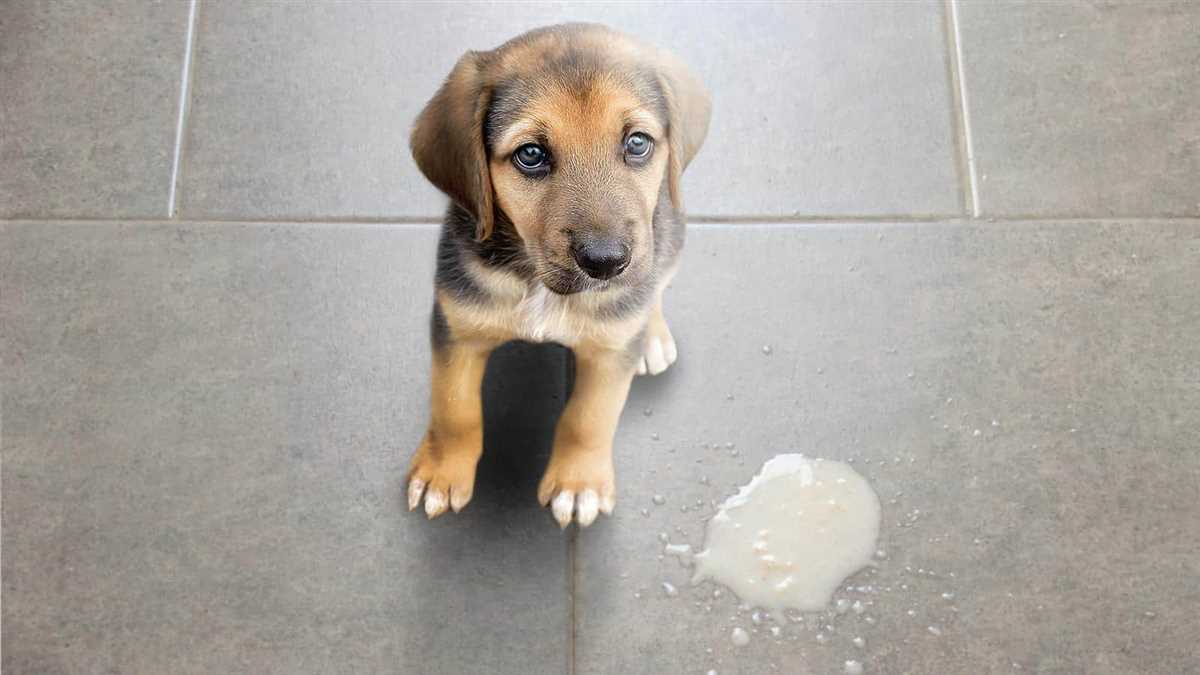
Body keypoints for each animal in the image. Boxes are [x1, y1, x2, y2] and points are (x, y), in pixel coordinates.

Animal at [410, 23, 710, 526]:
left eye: (637, 143)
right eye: (530, 154)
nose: (606, 262)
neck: (538, 283)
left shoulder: (609, 354)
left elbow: (589, 417)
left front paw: (578, 484)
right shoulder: (457, 325)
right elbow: (454, 409)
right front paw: (442, 471)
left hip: (670, 239)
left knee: (655, 288)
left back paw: (652, 335)